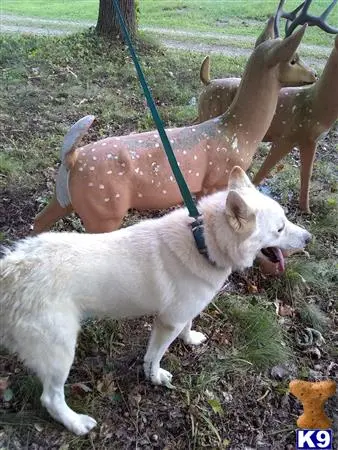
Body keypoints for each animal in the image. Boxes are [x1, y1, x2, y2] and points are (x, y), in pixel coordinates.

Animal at [0, 167, 312, 434]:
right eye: (280, 229)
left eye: (286, 220)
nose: (309, 238)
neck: (203, 241)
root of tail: (12, 269)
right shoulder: (166, 323)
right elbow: (154, 356)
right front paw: (155, 377)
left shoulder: (182, 313)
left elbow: (188, 326)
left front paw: (190, 339)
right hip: (60, 351)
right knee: (51, 398)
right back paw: (76, 424)